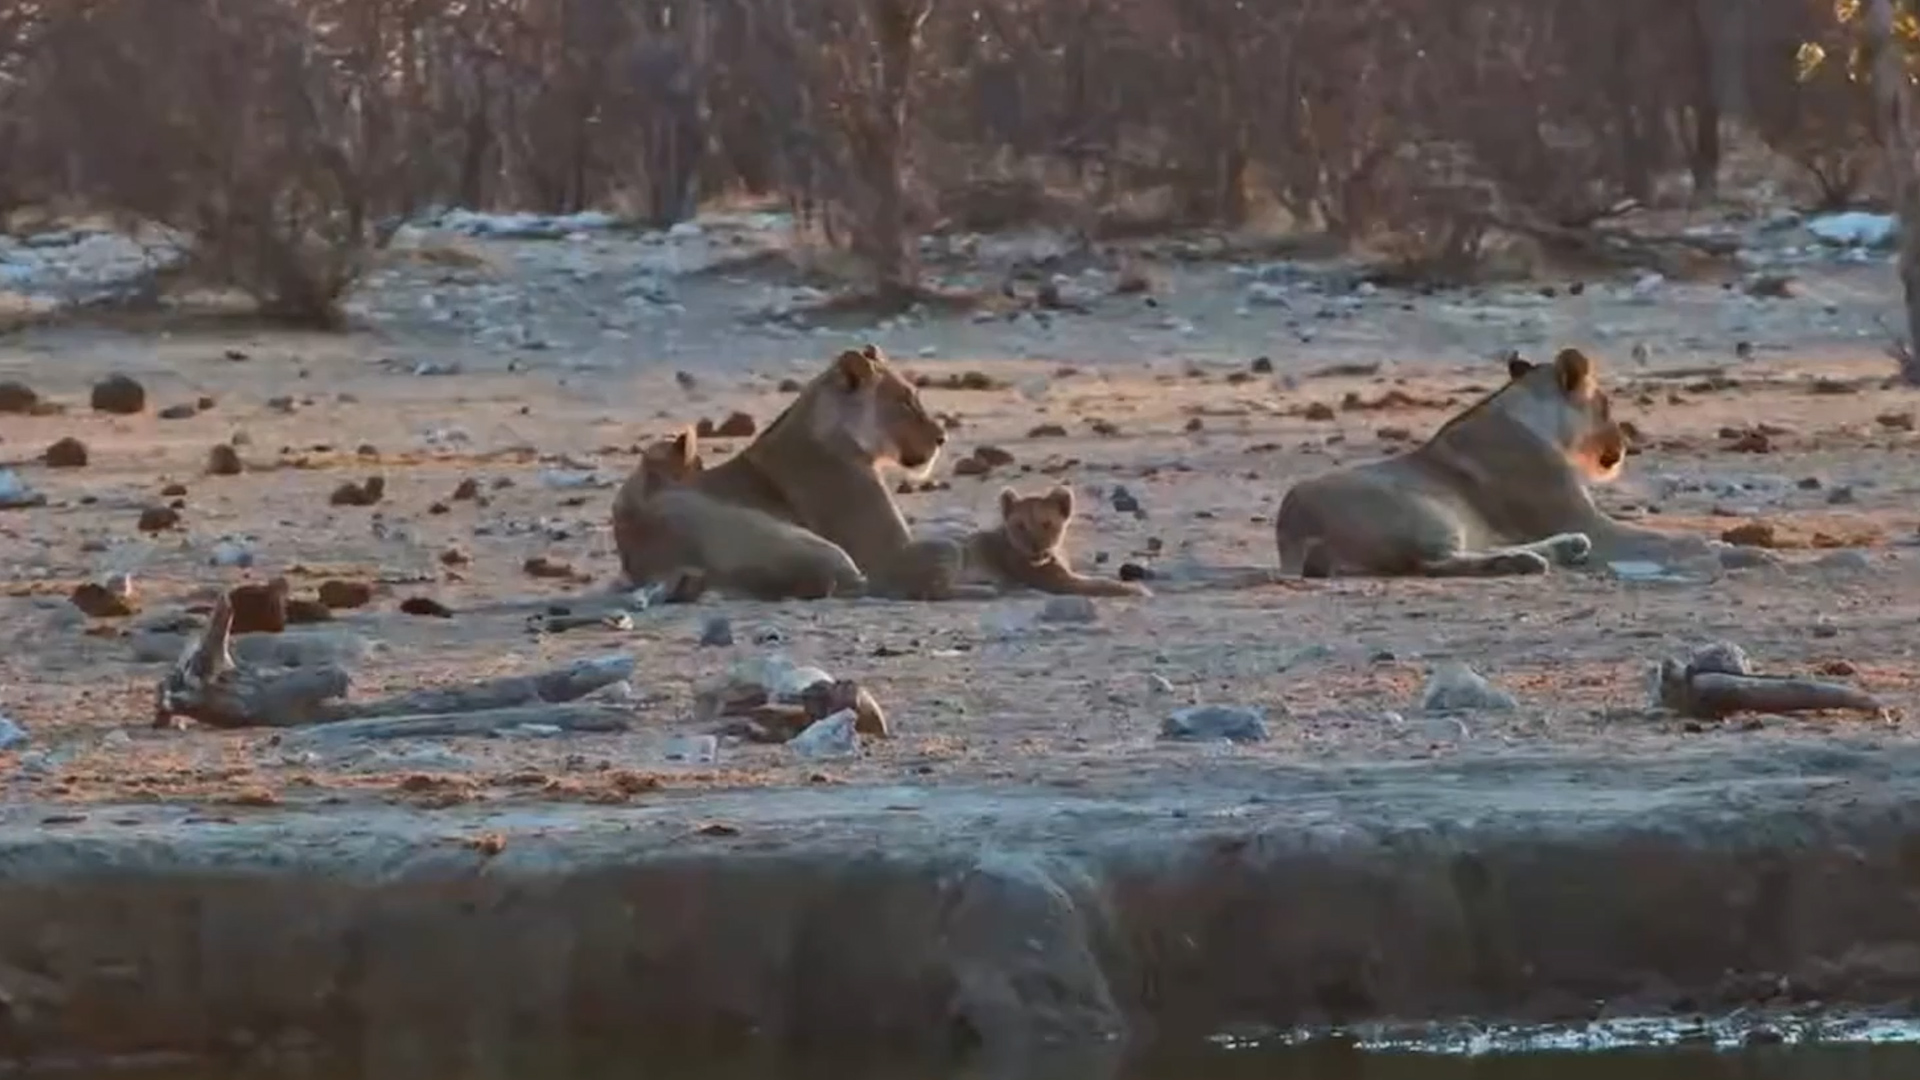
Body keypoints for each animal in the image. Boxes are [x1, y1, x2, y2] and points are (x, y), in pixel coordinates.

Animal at [959, 486, 1150, 597]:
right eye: (1020, 526)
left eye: (1046, 524)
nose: (1035, 546)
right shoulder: (1060, 582)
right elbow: (1101, 584)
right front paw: (1139, 590)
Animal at [1273, 347, 1709, 578]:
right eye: (1606, 406)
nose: (1624, 445)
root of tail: (1294, 530)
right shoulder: (1585, 519)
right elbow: (1663, 536)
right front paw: (1715, 545)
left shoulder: (1583, 520)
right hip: (1430, 512)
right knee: (1432, 563)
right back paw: (1526, 560)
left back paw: (1565, 549)